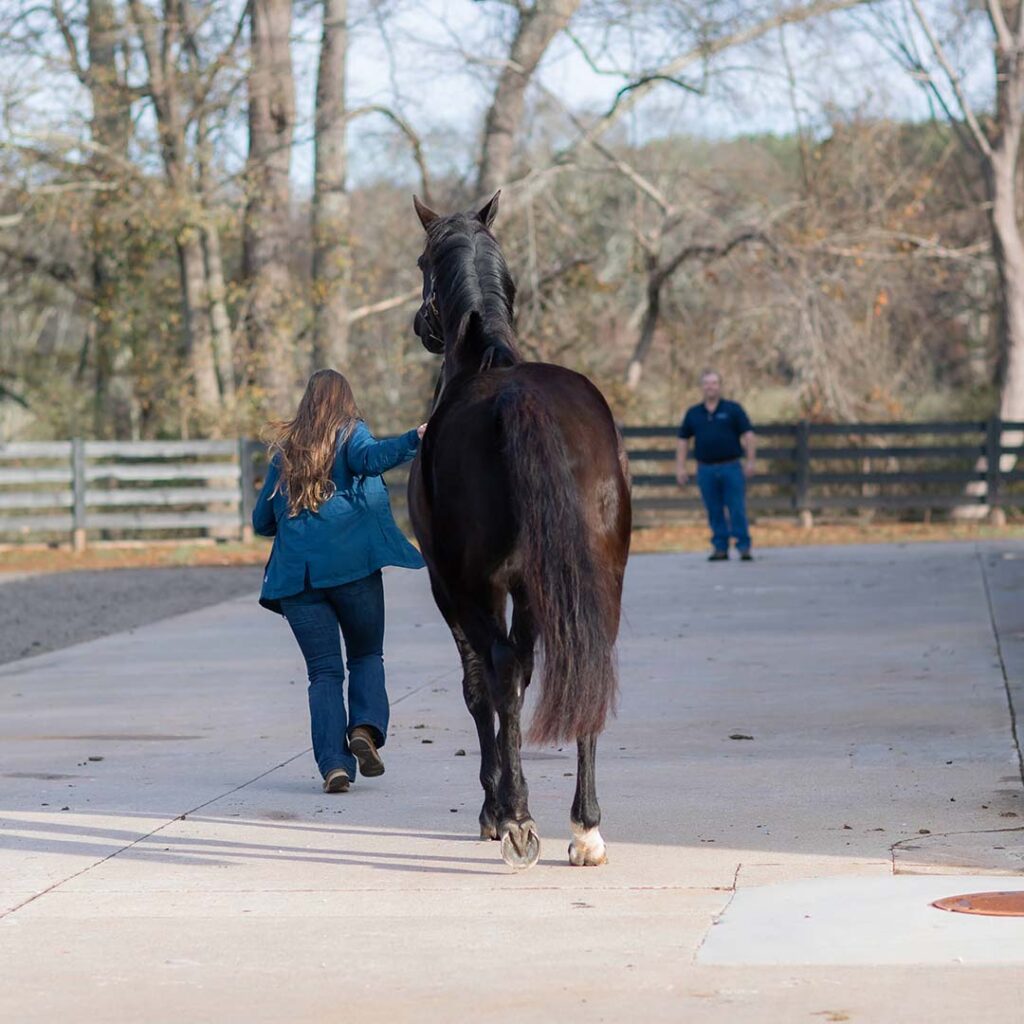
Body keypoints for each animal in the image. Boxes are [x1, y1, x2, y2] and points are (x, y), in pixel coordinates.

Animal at [406, 191, 632, 870]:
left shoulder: (450, 588)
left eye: (421, 262)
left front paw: (495, 808)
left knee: (499, 672)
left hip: (474, 587)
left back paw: (520, 822)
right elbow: (528, 674)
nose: (420, 326)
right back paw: (586, 829)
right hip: (595, 580)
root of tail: (519, 399)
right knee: (589, 667)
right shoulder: (534, 590)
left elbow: (482, 687)